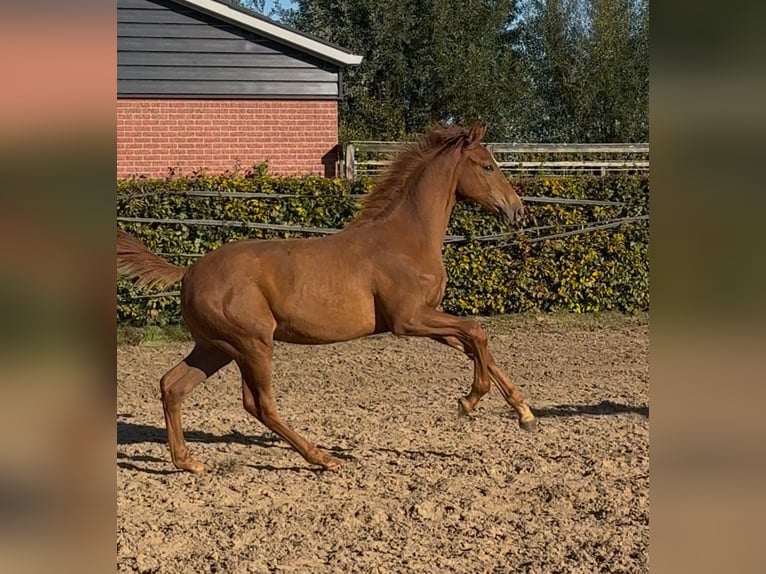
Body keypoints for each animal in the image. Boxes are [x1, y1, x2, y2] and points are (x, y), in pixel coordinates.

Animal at [121, 124, 540, 474]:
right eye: (487, 166)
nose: (518, 211)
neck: (406, 239)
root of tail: (188, 272)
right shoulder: (408, 319)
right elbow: (476, 331)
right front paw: (470, 400)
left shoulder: (426, 316)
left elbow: (472, 344)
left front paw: (523, 411)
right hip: (252, 343)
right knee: (258, 404)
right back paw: (324, 458)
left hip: (215, 347)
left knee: (172, 385)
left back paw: (188, 462)